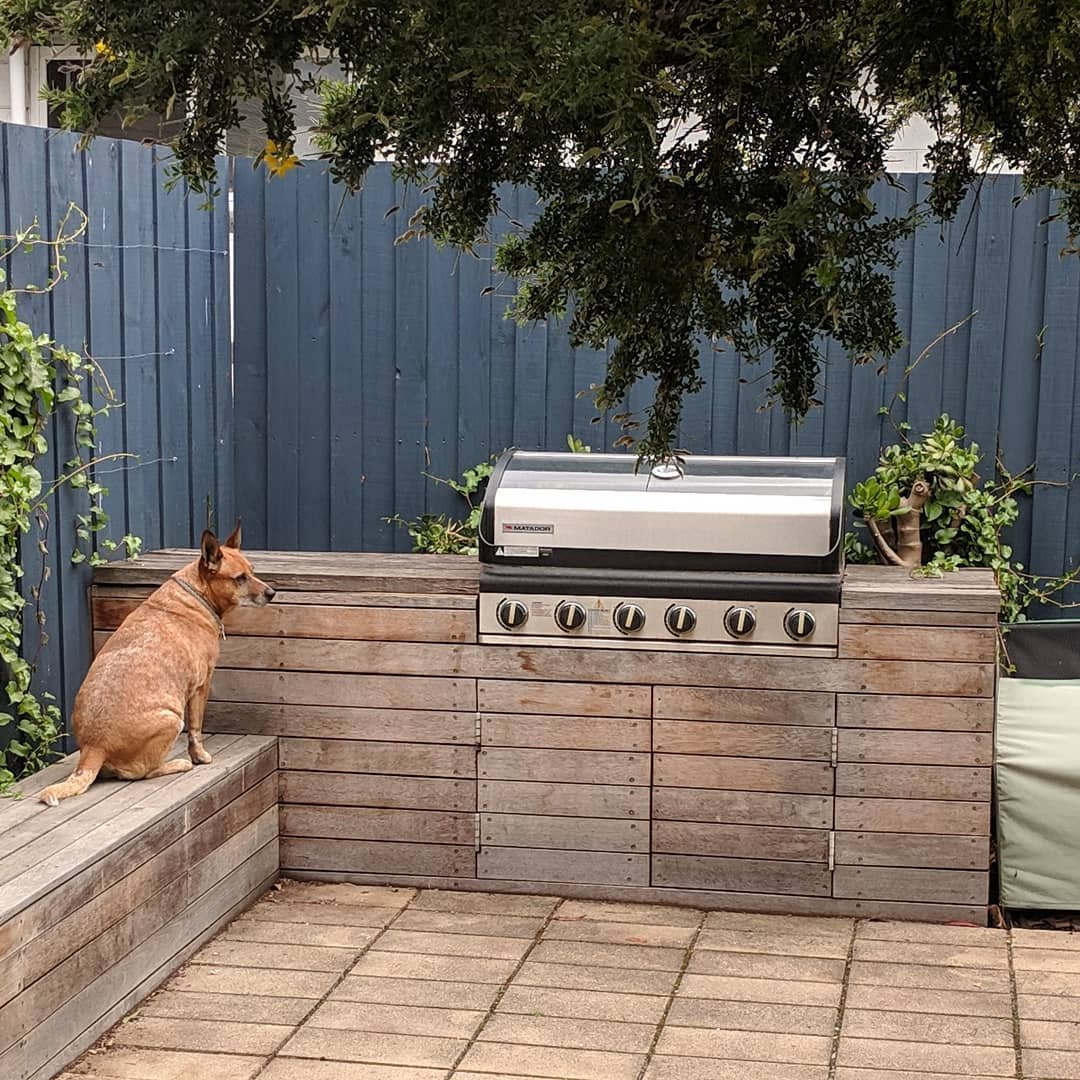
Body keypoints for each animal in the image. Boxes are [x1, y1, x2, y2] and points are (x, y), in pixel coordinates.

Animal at [38, 518, 274, 807]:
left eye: (252, 572)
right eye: (239, 578)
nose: (272, 593)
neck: (196, 594)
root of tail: (94, 748)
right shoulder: (201, 686)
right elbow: (196, 729)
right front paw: (200, 756)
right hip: (172, 719)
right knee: (142, 772)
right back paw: (178, 764)